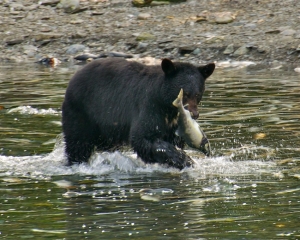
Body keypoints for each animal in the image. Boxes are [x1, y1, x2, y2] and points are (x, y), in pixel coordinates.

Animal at [62, 58, 214, 170]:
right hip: (81, 111)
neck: (166, 105)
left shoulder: (172, 124)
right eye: (185, 93)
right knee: (78, 143)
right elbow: (142, 136)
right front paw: (184, 159)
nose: (193, 114)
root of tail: (72, 80)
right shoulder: (149, 106)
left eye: (198, 94)